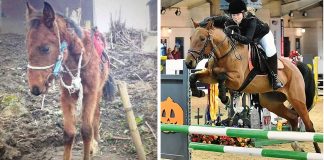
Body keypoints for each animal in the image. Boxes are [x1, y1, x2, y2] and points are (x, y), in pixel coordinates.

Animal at [25, 1, 114, 159]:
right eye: (27, 47)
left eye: (46, 48)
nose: (35, 88)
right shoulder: (66, 96)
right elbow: (68, 133)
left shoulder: (90, 94)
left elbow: (86, 130)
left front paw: (90, 148)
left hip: (98, 92)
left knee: (96, 114)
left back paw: (95, 141)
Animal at [186, 20, 320, 153]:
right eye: (191, 38)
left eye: (202, 39)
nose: (188, 63)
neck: (226, 53)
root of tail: (295, 66)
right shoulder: (211, 75)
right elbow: (193, 77)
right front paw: (198, 92)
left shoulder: (238, 80)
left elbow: (222, 77)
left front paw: (225, 97)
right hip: (271, 102)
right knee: (292, 117)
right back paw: (296, 145)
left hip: (297, 99)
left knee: (309, 125)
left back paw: (317, 151)